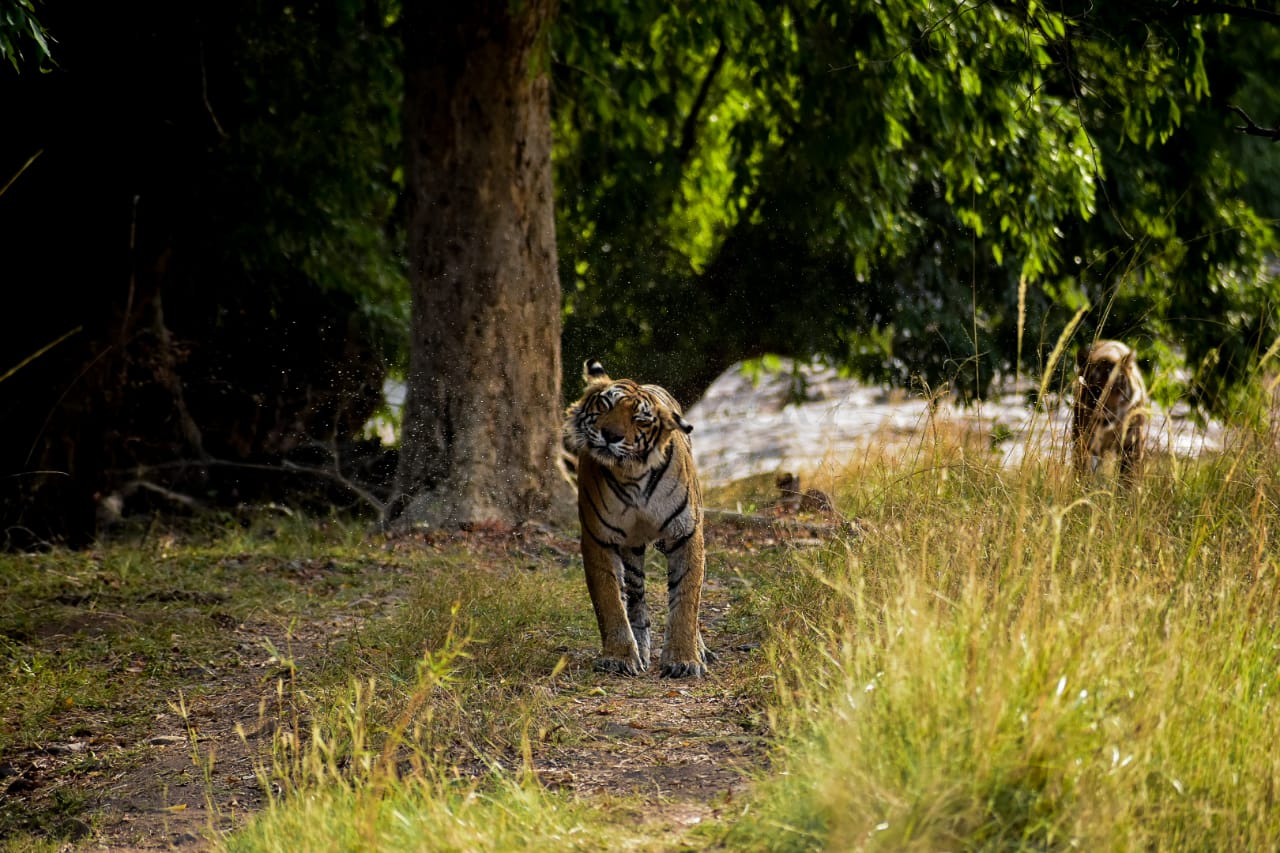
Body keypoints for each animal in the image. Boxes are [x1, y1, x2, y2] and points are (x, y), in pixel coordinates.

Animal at [565, 358, 716, 676]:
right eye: (606, 405)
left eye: (640, 419)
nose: (611, 436)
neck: (632, 474)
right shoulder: (598, 538)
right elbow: (610, 600)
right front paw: (619, 657)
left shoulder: (685, 534)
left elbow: (687, 598)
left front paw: (684, 659)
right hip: (631, 550)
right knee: (635, 596)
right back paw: (642, 648)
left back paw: (699, 648)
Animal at [1070, 338, 1152, 484]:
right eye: (1096, 390)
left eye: (1116, 387)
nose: (1107, 411)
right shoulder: (1086, 441)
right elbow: (1084, 469)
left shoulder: (1132, 444)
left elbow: (1126, 478)